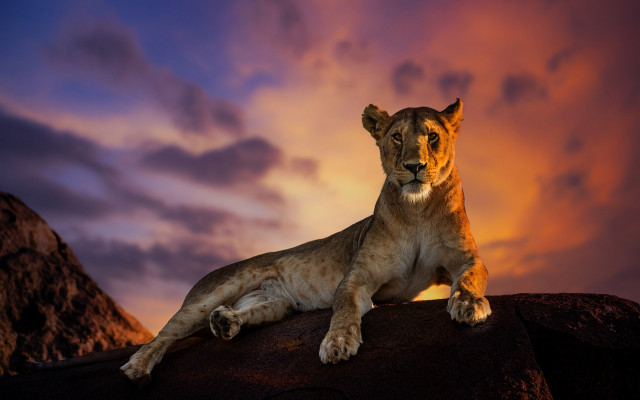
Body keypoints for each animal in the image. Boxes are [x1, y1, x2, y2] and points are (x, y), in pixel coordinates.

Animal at [121, 99, 491, 386]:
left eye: (433, 136)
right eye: (397, 137)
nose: (415, 167)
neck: (417, 209)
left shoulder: (466, 258)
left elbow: (471, 278)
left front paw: (469, 305)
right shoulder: (358, 277)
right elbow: (344, 308)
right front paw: (338, 343)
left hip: (278, 304)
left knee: (249, 313)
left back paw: (226, 323)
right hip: (214, 291)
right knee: (164, 334)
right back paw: (137, 367)